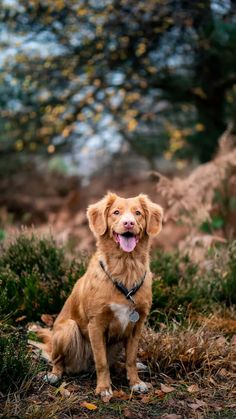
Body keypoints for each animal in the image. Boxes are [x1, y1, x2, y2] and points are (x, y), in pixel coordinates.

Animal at [38, 193, 163, 398]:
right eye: (116, 212)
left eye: (137, 213)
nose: (128, 223)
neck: (126, 267)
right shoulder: (96, 324)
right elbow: (101, 362)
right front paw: (104, 388)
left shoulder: (137, 325)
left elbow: (130, 358)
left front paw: (135, 382)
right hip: (67, 330)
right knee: (58, 360)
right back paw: (55, 375)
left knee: (118, 362)